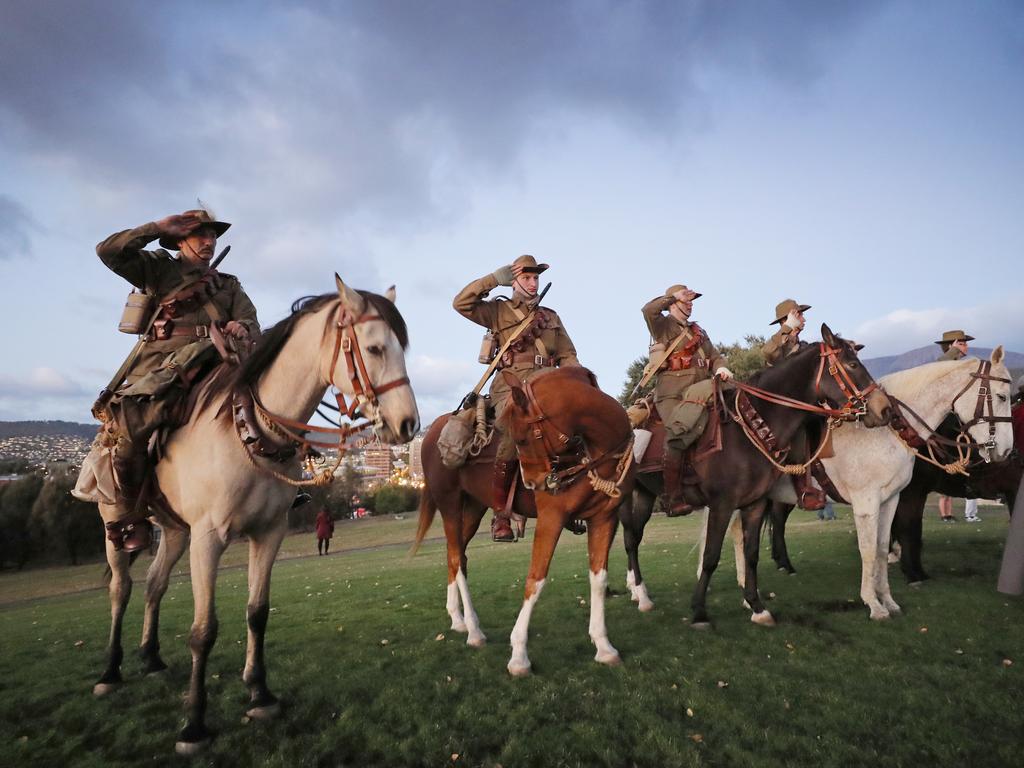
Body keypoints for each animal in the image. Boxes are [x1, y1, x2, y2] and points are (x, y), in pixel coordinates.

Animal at [91, 278, 419, 757]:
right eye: (375, 348)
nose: (408, 424)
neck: (249, 432)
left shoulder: (269, 533)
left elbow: (257, 612)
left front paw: (260, 693)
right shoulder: (209, 537)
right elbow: (203, 630)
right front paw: (194, 724)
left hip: (173, 531)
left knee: (154, 584)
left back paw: (150, 656)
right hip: (116, 524)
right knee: (121, 588)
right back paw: (110, 671)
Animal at [411, 366, 634, 671]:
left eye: (524, 439)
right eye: (516, 439)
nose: (533, 483)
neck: (596, 452)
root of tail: (432, 431)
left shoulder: (604, 518)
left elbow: (598, 580)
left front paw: (603, 646)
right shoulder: (551, 518)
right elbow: (536, 579)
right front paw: (518, 655)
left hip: (474, 507)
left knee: (456, 557)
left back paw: (458, 619)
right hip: (450, 503)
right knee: (456, 557)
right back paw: (474, 630)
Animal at [614, 327, 888, 626]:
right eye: (852, 365)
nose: (883, 408)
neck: (749, 429)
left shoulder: (755, 504)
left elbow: (752, 554)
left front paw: (757, 606)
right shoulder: (722, 505)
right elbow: (711, 555)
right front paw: (699, 611)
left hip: (645, 495)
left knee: (634, 538)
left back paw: (639, 592)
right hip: (628, 497)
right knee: (630, 541)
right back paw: (641, 596)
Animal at [712, 352, 1015, 622]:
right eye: (1001, 397)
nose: (1006, 450)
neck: (888, 429)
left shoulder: (891, 500)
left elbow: (881, 549)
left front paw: (888, 600)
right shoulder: (868, 503)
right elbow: (869, 550)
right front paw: (874, 604)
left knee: (740, 532)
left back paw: (748, 596)